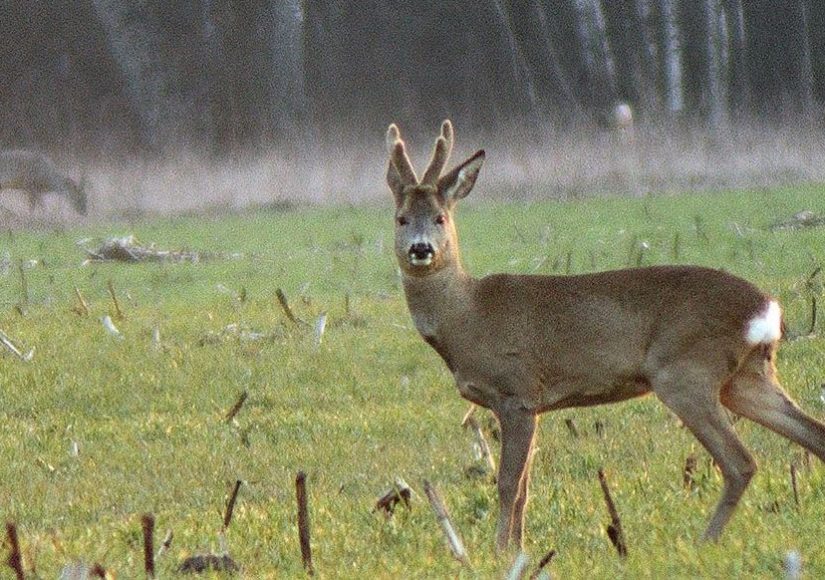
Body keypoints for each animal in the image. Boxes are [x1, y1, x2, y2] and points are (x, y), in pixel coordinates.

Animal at [386, 120, 824, 552]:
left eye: (440, 218)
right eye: (401, 218)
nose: (421, 249)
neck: (467, 316)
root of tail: (766, 307)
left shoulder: (517, 393)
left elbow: (509, 485)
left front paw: (501, 552)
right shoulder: (527, 404)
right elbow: (525, 487)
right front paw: (519, 549)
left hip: (686, 372)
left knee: (740, 462)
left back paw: (704, 541)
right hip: (746, 376)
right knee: (812, 433)